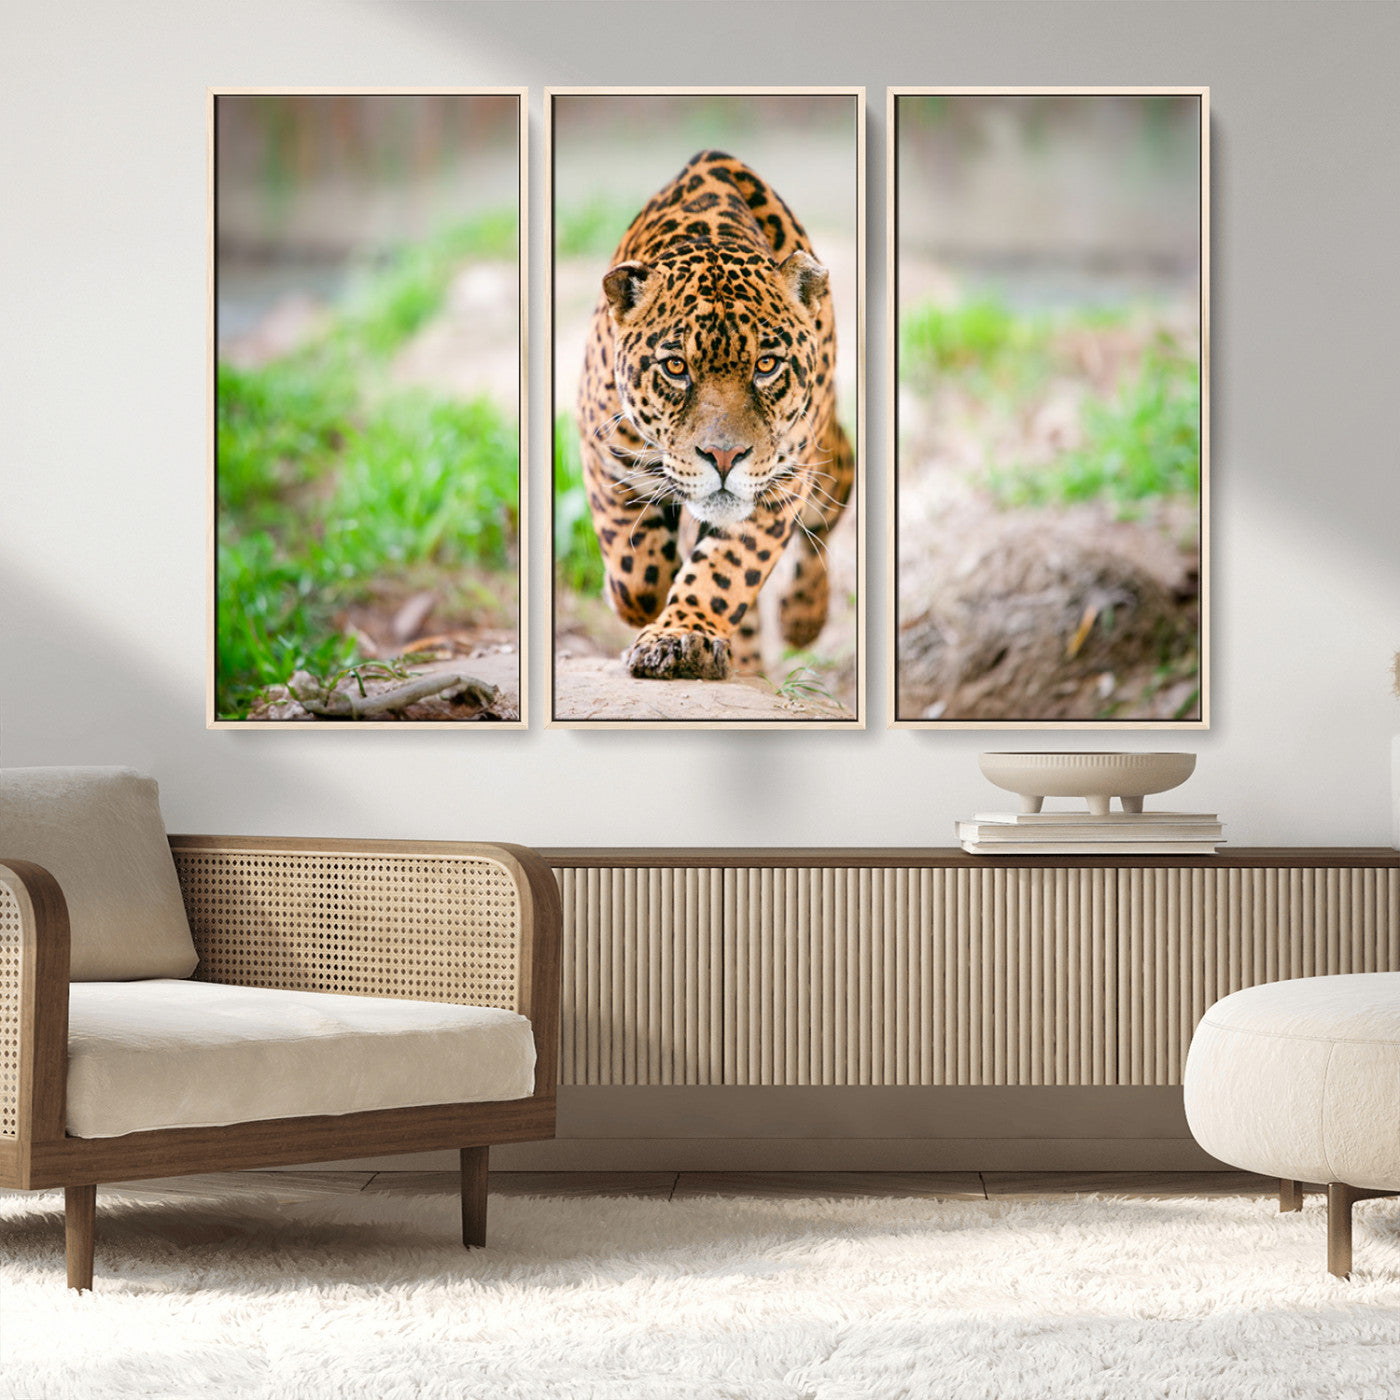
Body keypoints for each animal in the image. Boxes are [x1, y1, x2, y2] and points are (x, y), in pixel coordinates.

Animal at [574, 149, 855, 682]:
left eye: (766, 366)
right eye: (675, 367)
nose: (724, 457)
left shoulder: (779, 484)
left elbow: (724, 571)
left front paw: (682, 636)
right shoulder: (604, 452)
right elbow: (635, 569)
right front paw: (642, 604)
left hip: (825, 462)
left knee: (830, 507)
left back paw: (802, 617)